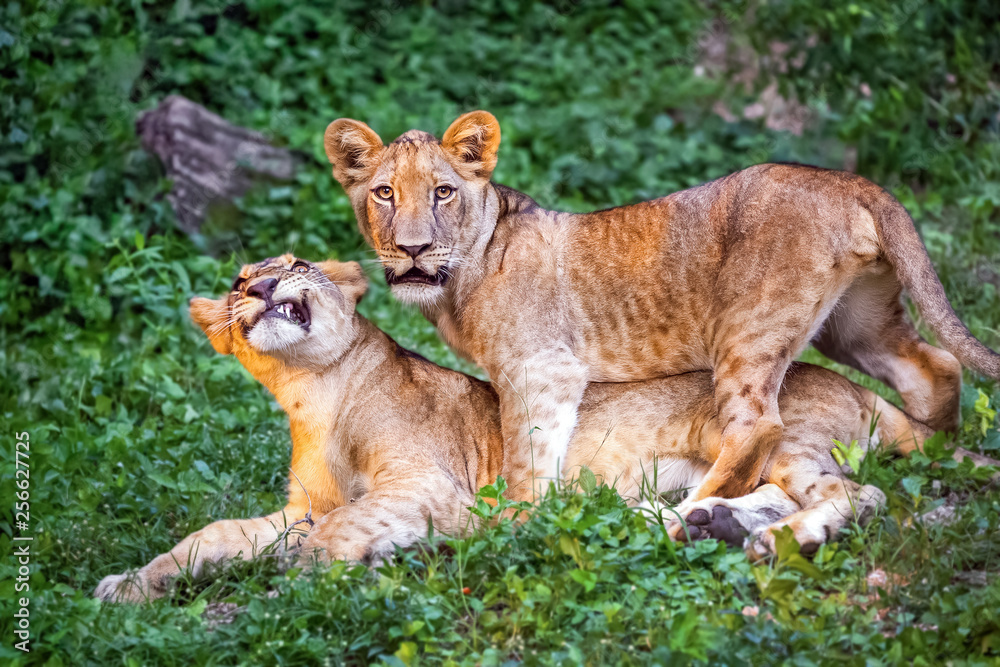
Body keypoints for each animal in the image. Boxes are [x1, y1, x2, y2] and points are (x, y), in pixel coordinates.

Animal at [93, 256, 998, 602]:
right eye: (238, 280)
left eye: (292, 264)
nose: (260, 286)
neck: (311, 395)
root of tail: (855, 386)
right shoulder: (296, 506)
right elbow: (215, 534)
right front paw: (129, 585)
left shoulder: (432, 485)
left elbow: (337, 533)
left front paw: (307, 580)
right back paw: (705, 524)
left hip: (772, 430)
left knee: (861, 494)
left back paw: (777, 540)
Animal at [322, 111, 1000, 515]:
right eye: (384, 193)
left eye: (443, 192)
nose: (412, 249)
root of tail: (847, 180)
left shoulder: (542, 369)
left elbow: (526, 456)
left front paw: (520, 524)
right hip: (853, 325)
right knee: (933, 366)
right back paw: (936, 449)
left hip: (748, 326)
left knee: (757, 426)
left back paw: (680, 512)